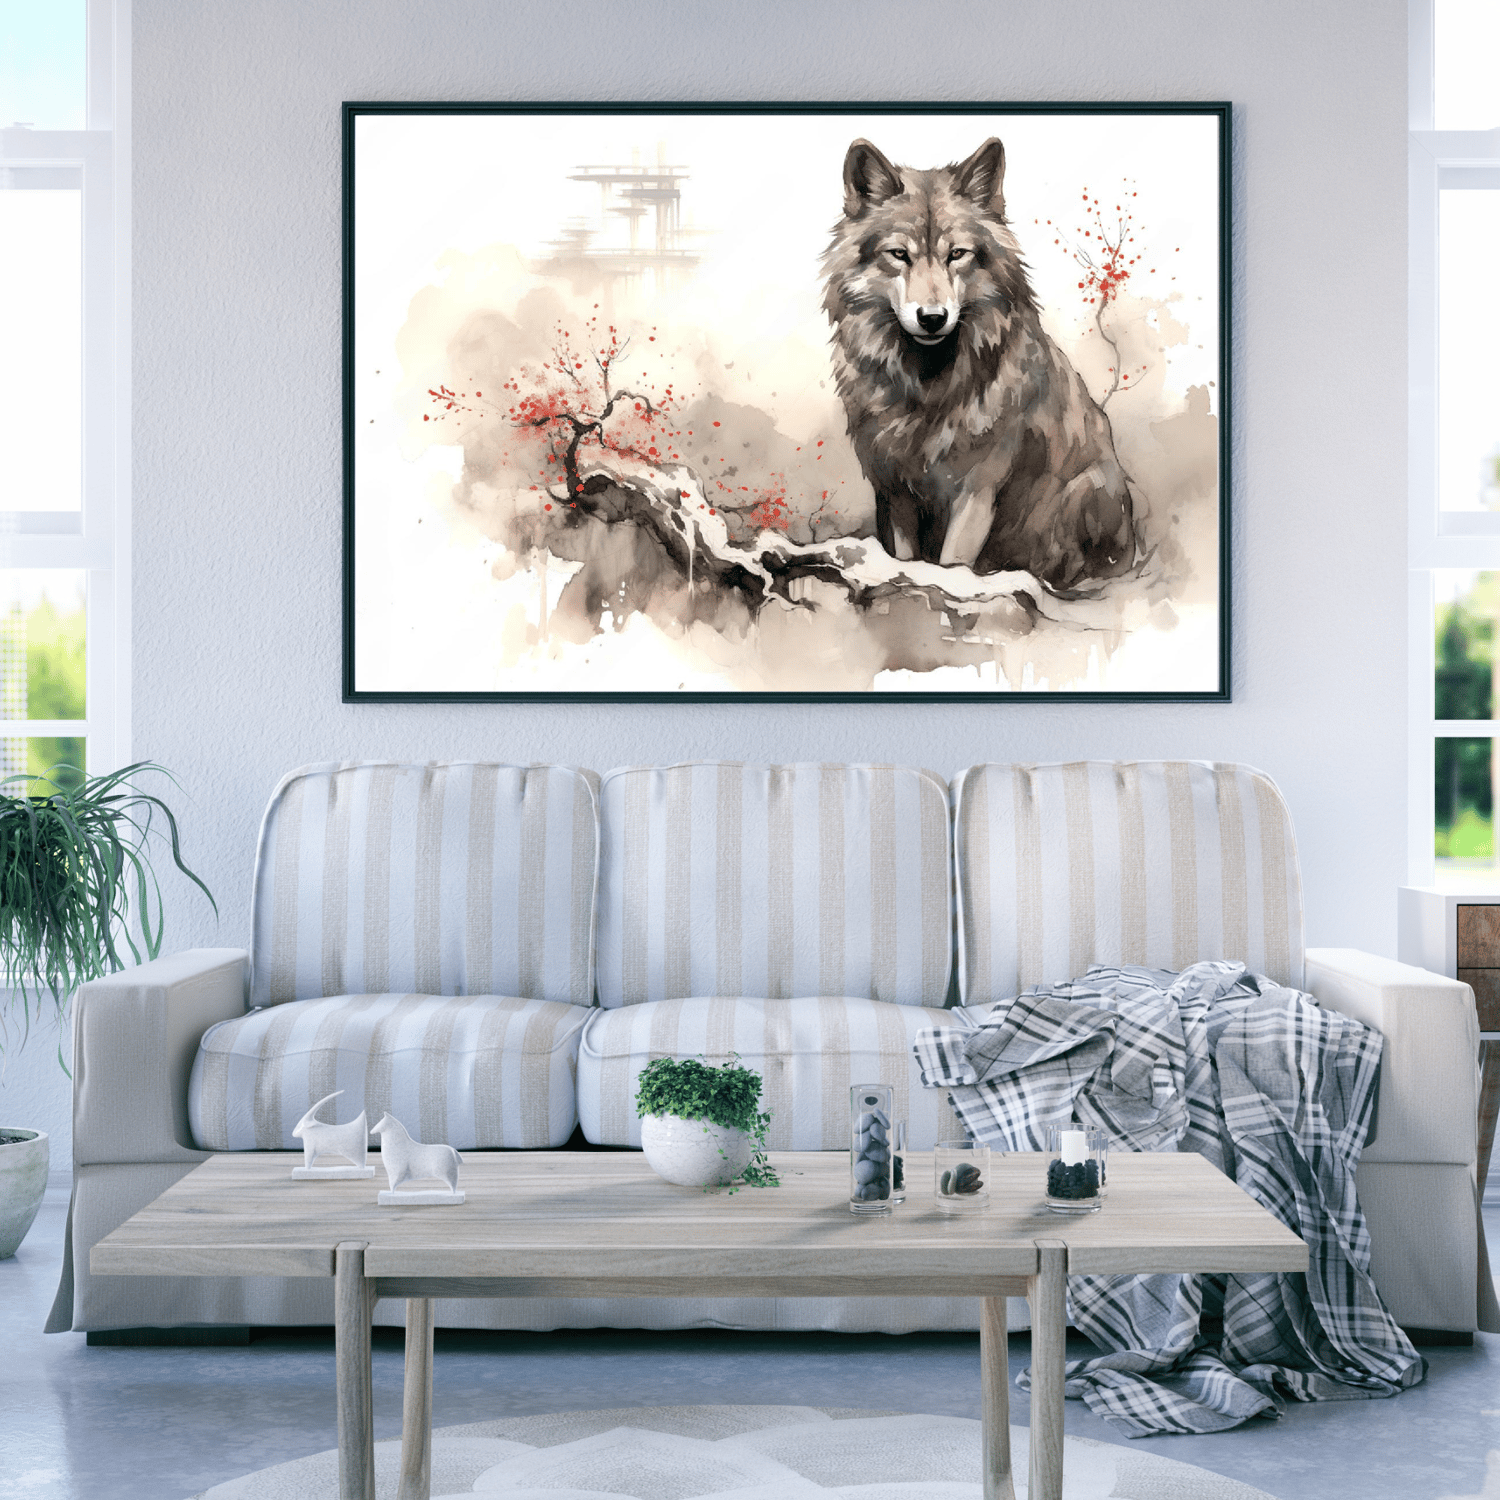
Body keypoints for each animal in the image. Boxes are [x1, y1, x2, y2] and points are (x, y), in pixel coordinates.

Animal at [822, 136, 1137, 591]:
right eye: (899, 254)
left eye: (957, 254)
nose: (932, 318)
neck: (926, 388)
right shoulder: (894, 490)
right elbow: (904, 556)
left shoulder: (977, 490)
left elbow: (954, 564)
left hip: (1085, 491)